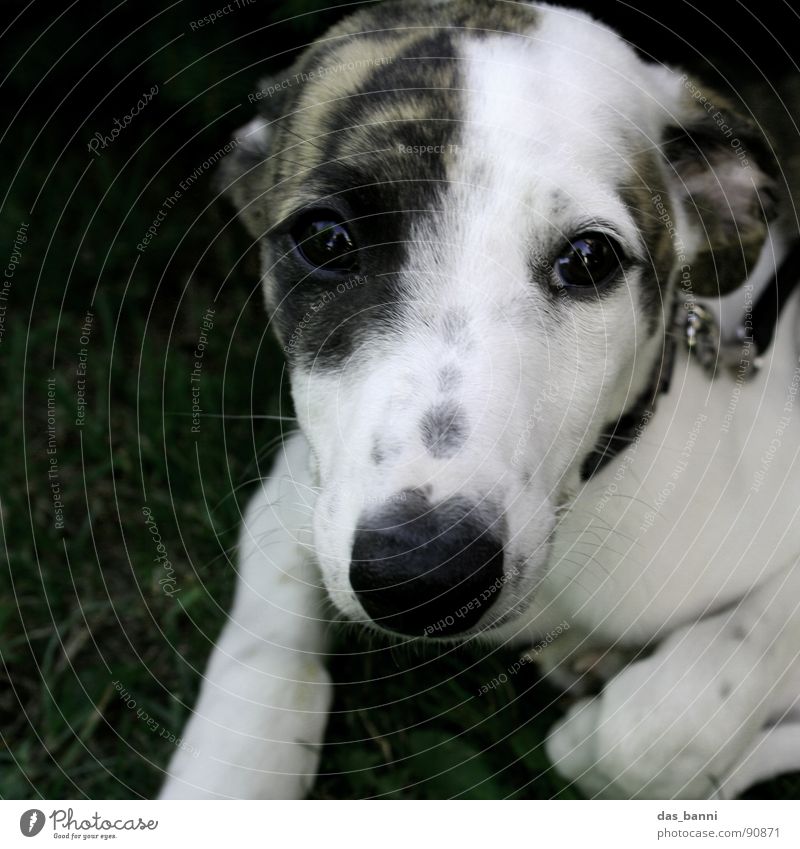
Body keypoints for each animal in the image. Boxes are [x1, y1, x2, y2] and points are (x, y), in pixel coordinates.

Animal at [158, 0, 800, 800]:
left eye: (590, 257)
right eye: (324, 238)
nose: (424, 574)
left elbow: (658, 719)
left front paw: (601, 731)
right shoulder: (304, 486)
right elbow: (264, 646)